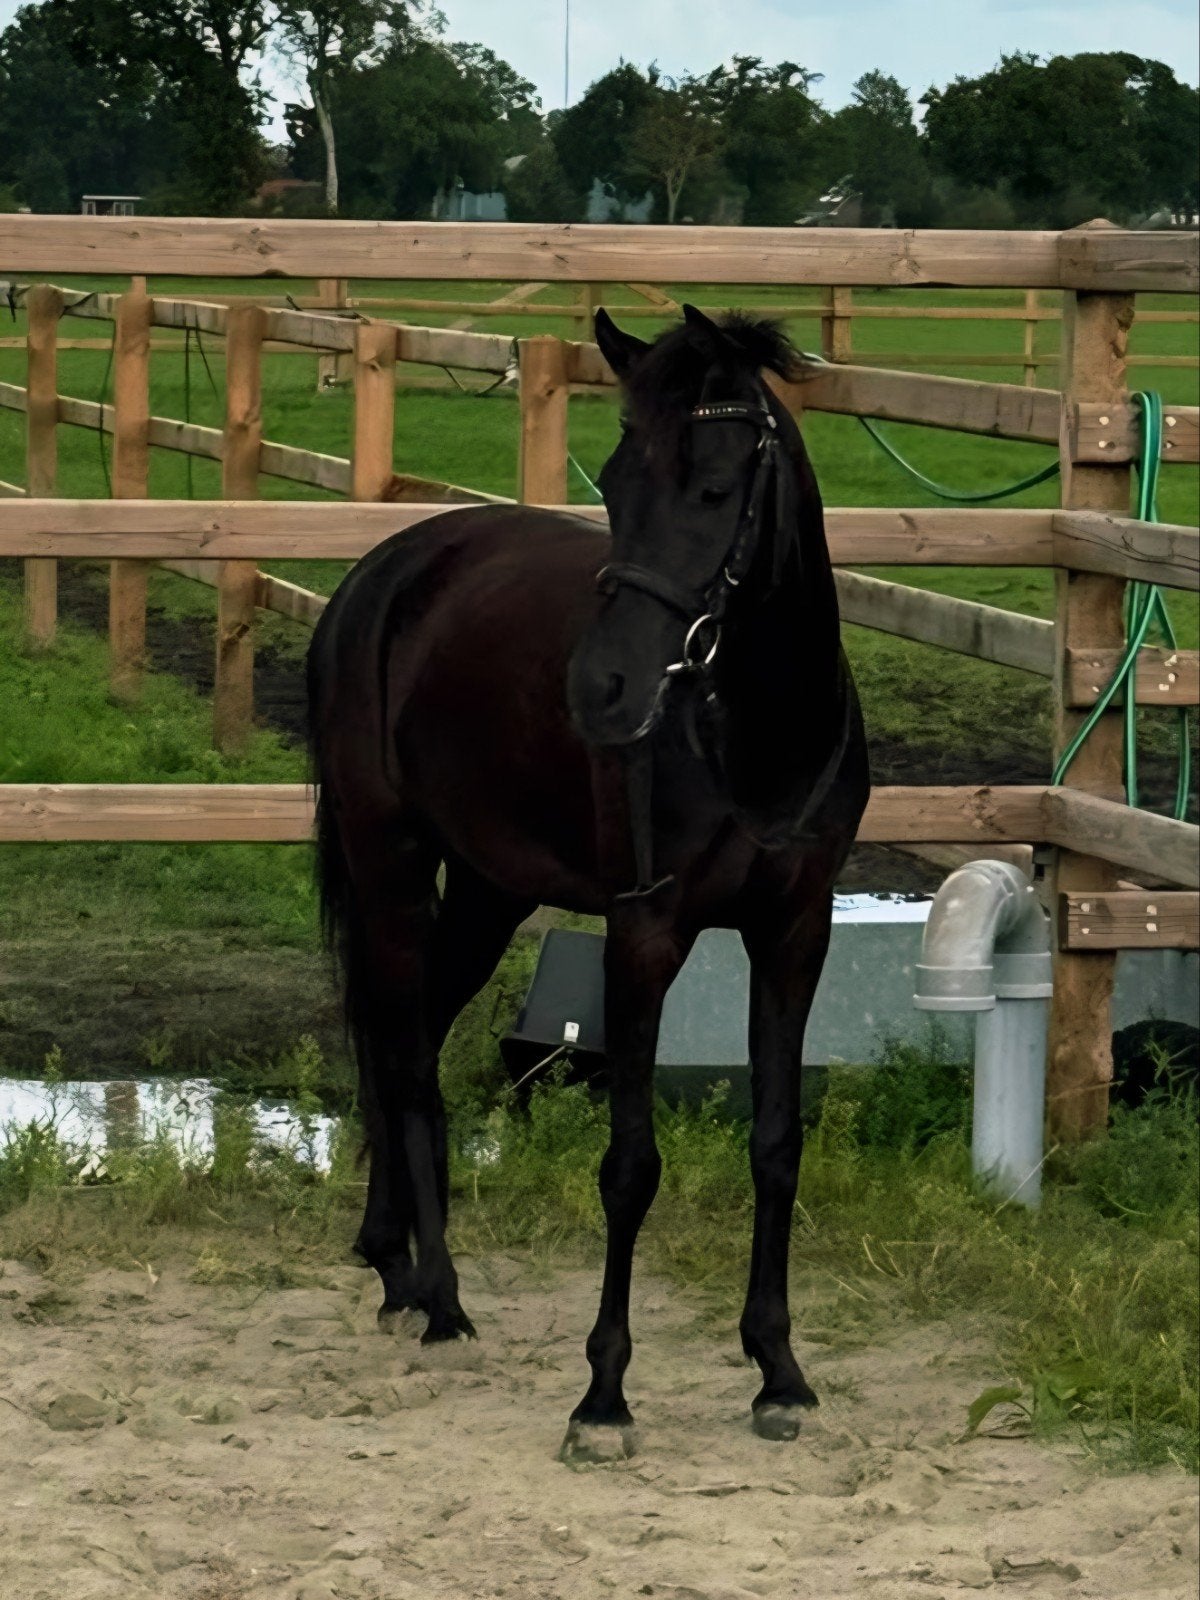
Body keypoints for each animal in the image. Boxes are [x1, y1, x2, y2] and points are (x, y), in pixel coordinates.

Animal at [306, 304, 869, 1460]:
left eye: (714, 487)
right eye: (612, 478)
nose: (601, 690)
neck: (750, 737)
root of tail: (384, 572)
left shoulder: (796, 933)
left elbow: (777, 1143)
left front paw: (779, 1372)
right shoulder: (643, 936)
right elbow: (630, 1164)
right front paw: (604, 1394)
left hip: (487, 889)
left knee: (406, 1032)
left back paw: (394, 1263)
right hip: (391, 861)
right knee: (405, 1054)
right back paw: (441, 1298)